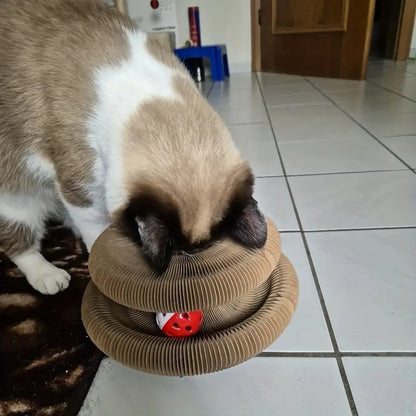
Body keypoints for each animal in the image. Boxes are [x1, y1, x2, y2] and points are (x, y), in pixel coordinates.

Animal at [0, 0, 266, 296]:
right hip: (16, 193)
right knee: (19, 242)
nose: (187, 258)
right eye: (177, 251)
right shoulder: (80, 187)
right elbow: (95, 229)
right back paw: (47, 274)